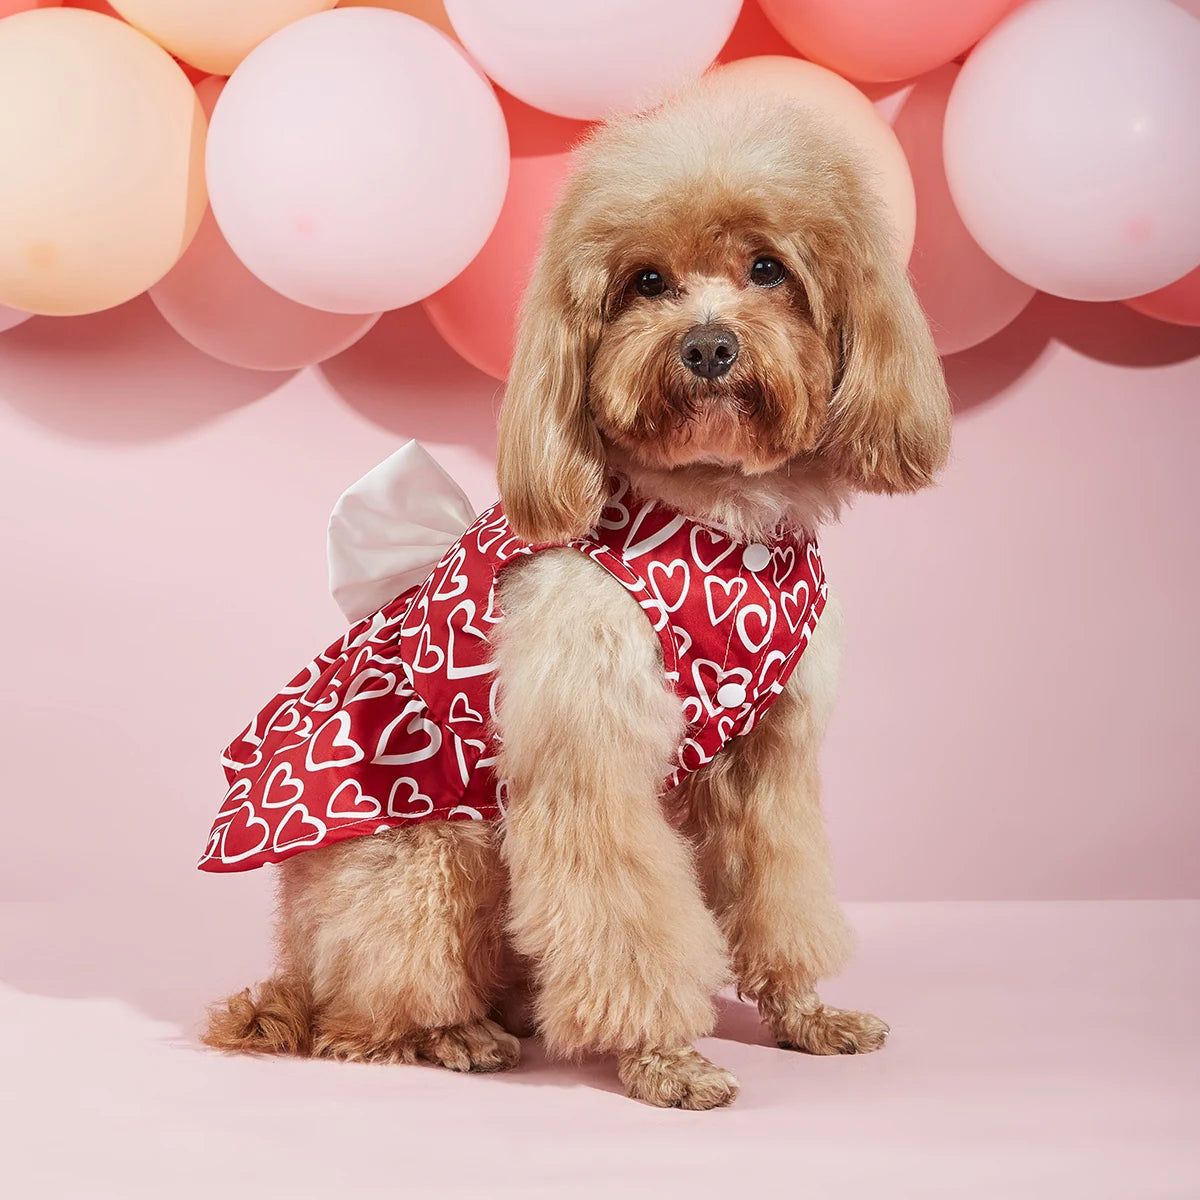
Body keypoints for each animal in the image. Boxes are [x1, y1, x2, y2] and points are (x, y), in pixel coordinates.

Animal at [208, 79, 955, 1108]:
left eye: (769, 269)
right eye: (646, 281)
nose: (709, 347)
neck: (715, 527)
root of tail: (291, 967)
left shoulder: (769, 761)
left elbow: (781, 892)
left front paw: (805, 1012)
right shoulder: (589, 761)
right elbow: (628, 925)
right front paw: (664, 1057)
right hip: (431, 852)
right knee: (360, 1018)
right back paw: (454, 1032)